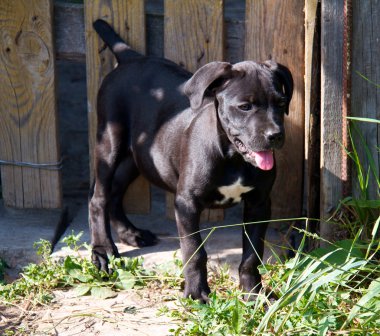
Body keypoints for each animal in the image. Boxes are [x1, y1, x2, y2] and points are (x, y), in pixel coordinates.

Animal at [90, 19, 292, 300]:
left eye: (281, 103)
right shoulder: (186, 204)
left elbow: (252, 254)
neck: (233, 158)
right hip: (109, 142)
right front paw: (197, 293)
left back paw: (130, 233)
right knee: (99, 197)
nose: (275, 135)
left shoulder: (259, 203)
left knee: (116, 191)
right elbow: (195, 251)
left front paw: (254, 293)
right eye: (245, 106)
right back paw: (103, 251)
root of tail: (131, 56)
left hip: (139, 157)